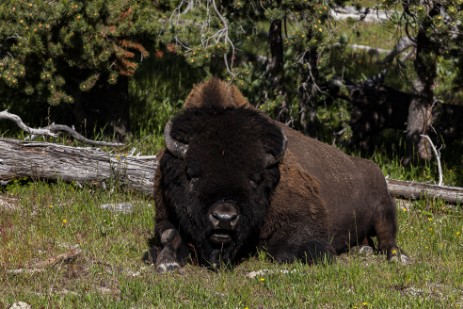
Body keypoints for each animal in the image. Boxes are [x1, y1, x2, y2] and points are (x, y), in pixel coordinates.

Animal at [146, 78, 410, 270]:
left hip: (384, 209)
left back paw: (397, 257)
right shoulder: (164, 215)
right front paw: (166, 262)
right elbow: (169, 234)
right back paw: (362, 248)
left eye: (254, 179)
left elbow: (283, 249)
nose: (224, 218)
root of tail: (371, 167)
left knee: (388, 237)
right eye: (192, 175)